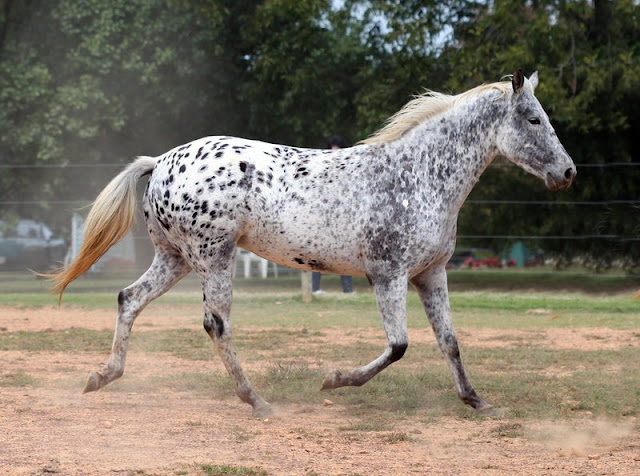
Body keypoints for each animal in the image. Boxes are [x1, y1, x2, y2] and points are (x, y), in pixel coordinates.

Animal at [46, 69, 576, 416]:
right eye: (533, 119)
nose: (568, 172)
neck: (417, 176)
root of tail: (160, 161)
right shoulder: (388, 275)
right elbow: (399, 346)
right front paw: (334, 381)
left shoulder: (431, 274)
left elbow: (450, 341)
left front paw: (476, 400)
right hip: (213, 259)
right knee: (217, 324)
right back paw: (256, 401)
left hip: (175, 259)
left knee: (129, 299)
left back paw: (102, 377)